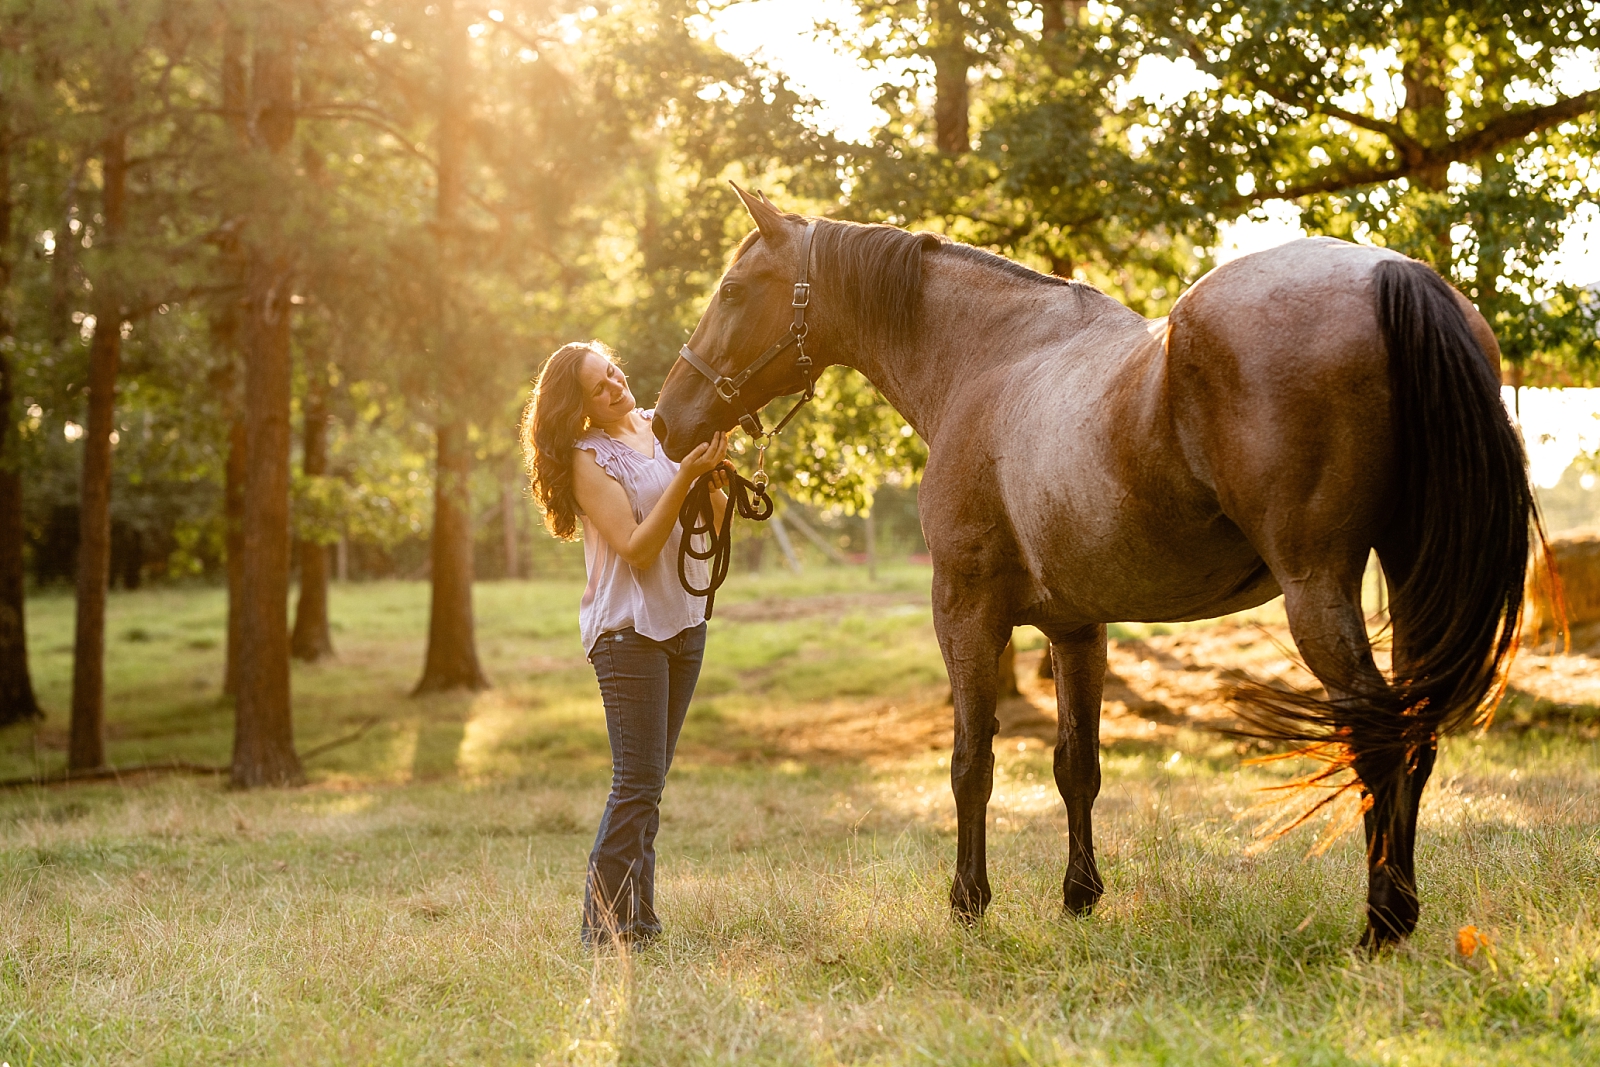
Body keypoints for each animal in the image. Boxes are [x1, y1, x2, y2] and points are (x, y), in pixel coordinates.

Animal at [649, 185, 1536, 953]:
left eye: (733, 289)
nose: (667, 420)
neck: (992, 360)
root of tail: (1393, 273)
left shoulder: (964, 611)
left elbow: (972, 762)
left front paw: (968, 903)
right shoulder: (1078, 628)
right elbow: (1077, 765)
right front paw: (1080, 896)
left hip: (1317, 588)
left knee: (1379, 735)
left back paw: (1381, 926)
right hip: (1410, 577)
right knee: (1414, 732)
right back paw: (1399, 912)